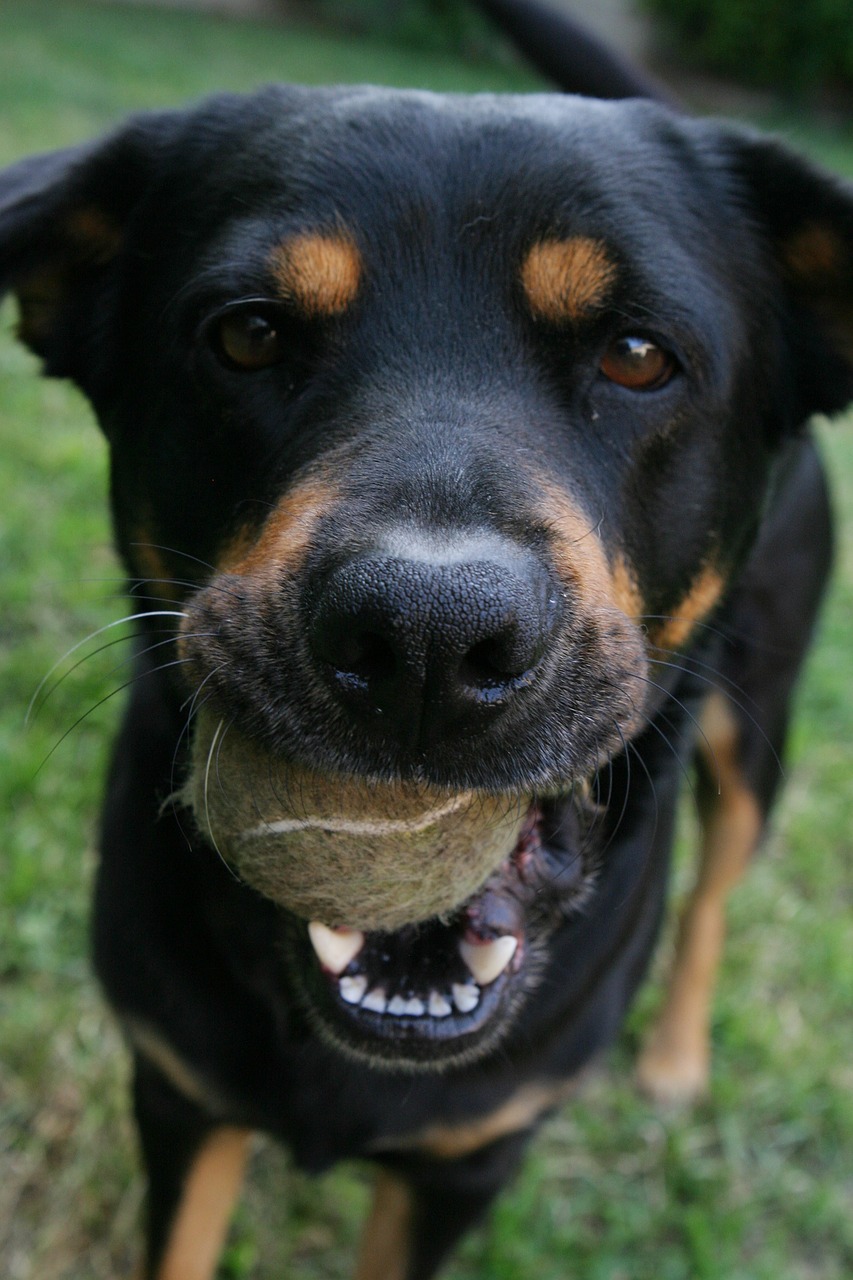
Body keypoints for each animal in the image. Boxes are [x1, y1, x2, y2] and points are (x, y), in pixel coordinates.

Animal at [3, 5, 845, 1274]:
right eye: (247, 334)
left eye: (637, 354)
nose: (426, 643)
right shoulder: (176, 1090)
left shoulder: (467, 1157)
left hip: (760, 724)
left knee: (715, 887)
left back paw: (673, 1057)